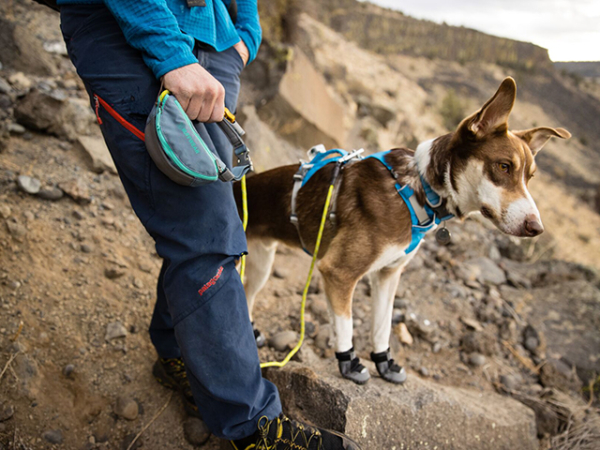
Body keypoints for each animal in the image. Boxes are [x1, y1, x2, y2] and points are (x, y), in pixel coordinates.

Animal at [233, 76, 568, 384]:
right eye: (503, 167)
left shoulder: (388, 274)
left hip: (262, 263)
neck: (415, 189)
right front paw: (349, 363)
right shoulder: (338, 272)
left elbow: (382, 325)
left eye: (530, 177)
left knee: (247, 295)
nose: (536, 228)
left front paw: (384, 362)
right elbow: (346, 324)